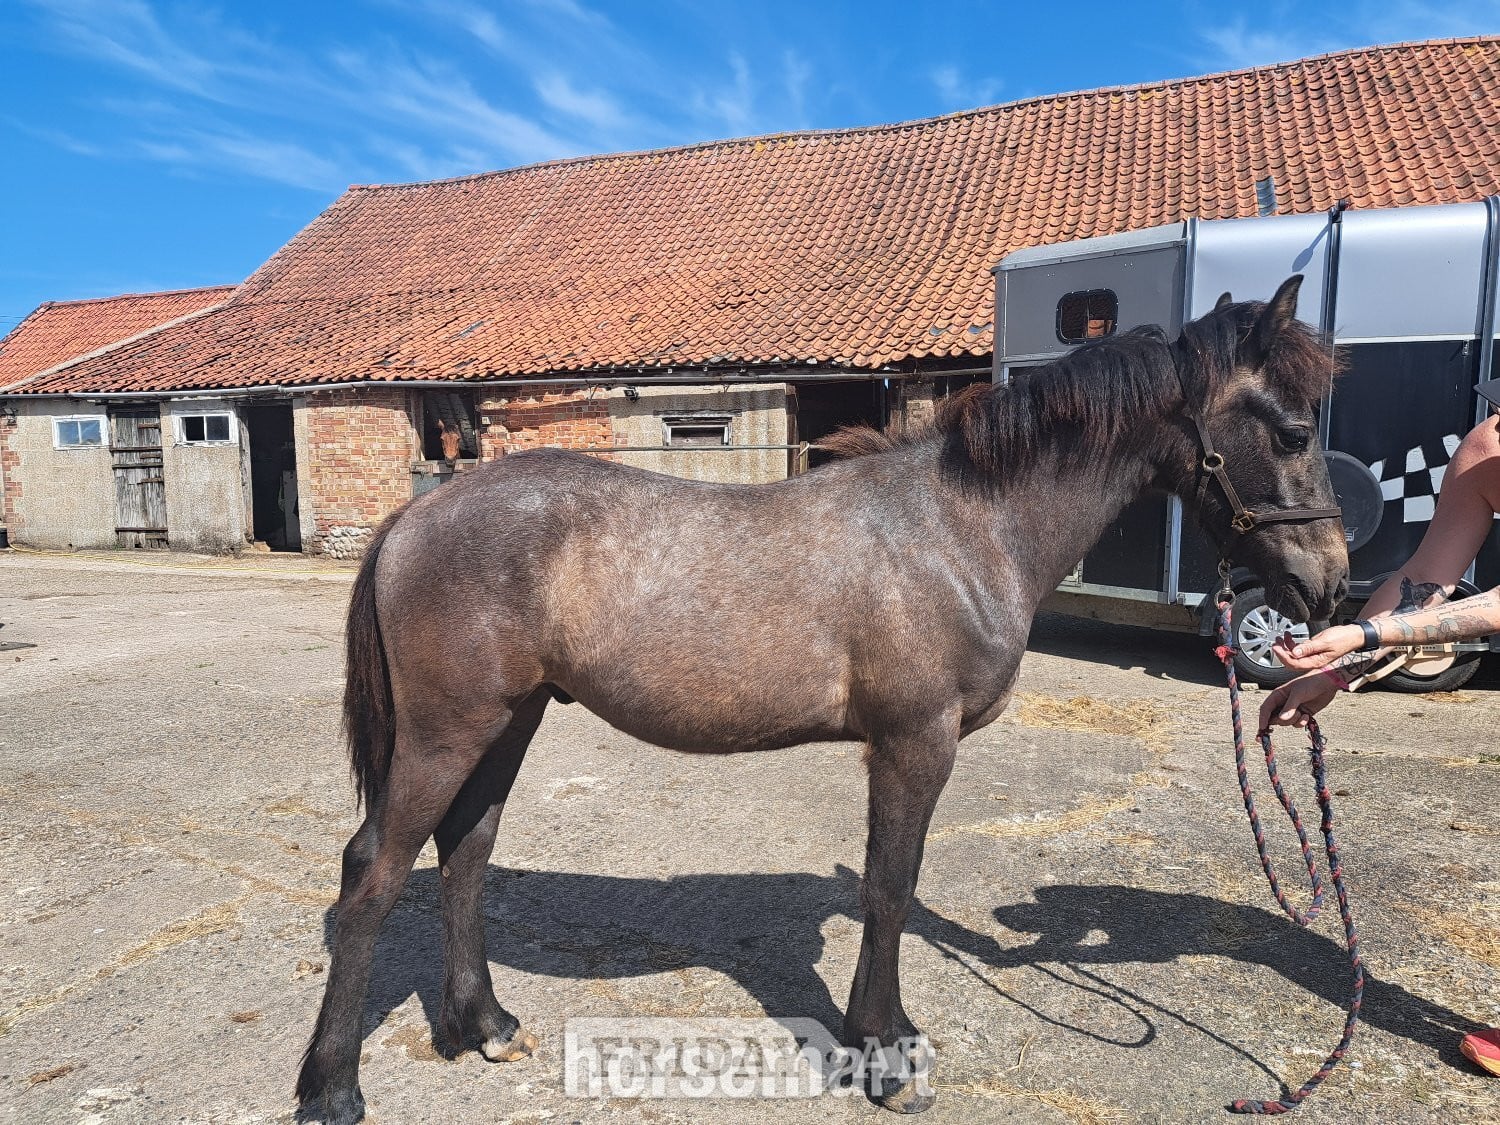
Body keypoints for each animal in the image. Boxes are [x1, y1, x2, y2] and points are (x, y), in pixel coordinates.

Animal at [296, 276, 1349, 1123]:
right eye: (1293, 431)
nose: (1328, 583)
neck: (963, 526)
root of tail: (417, 512)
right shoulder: (915, 741)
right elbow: (891, 886)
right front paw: (882, 1053)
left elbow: (892, 886)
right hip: (449, 730)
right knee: (372, 872)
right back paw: (332, 1086)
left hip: (508, 720)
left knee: (465, 853)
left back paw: (481, 1023)